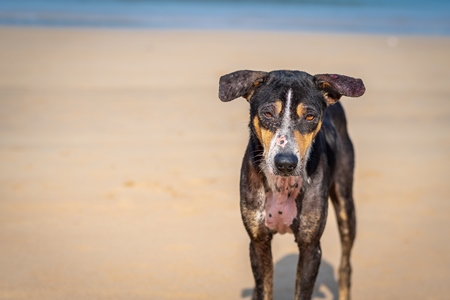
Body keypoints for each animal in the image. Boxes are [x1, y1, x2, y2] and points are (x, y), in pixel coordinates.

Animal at [218, 71, 366, 300]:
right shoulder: (258, 242)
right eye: (268, 113)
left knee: (345, 267)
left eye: (310, 116)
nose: (285, 163)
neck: (282, 186)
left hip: (345, 204)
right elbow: (263, 289)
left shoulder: (311, 247)